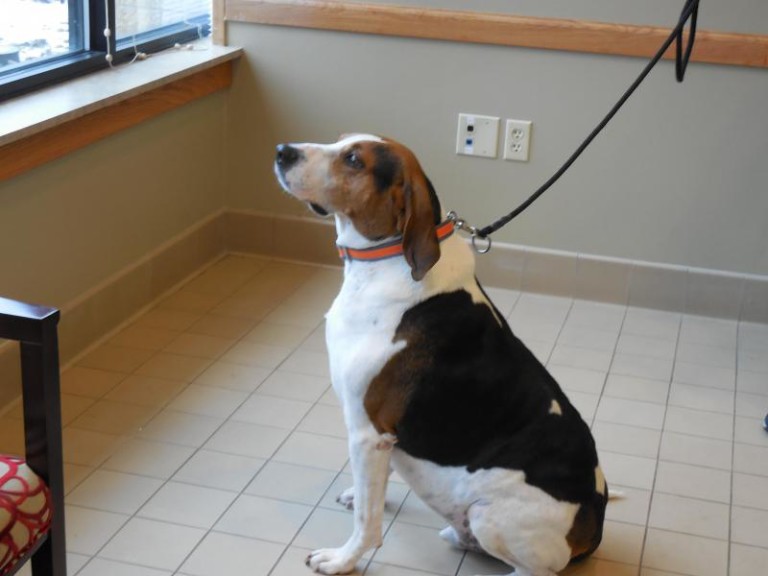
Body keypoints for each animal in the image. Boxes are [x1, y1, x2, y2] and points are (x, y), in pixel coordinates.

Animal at [274, 134, 607, 576]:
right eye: (341, 141)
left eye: (354, 160)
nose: (282, 151)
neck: (386, 259)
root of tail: (595, 521)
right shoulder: (381, 441)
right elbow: (372, 491)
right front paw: (358, 494)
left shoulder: (367, 432)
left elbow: (367, 520)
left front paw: (343, 559)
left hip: (490, 516)